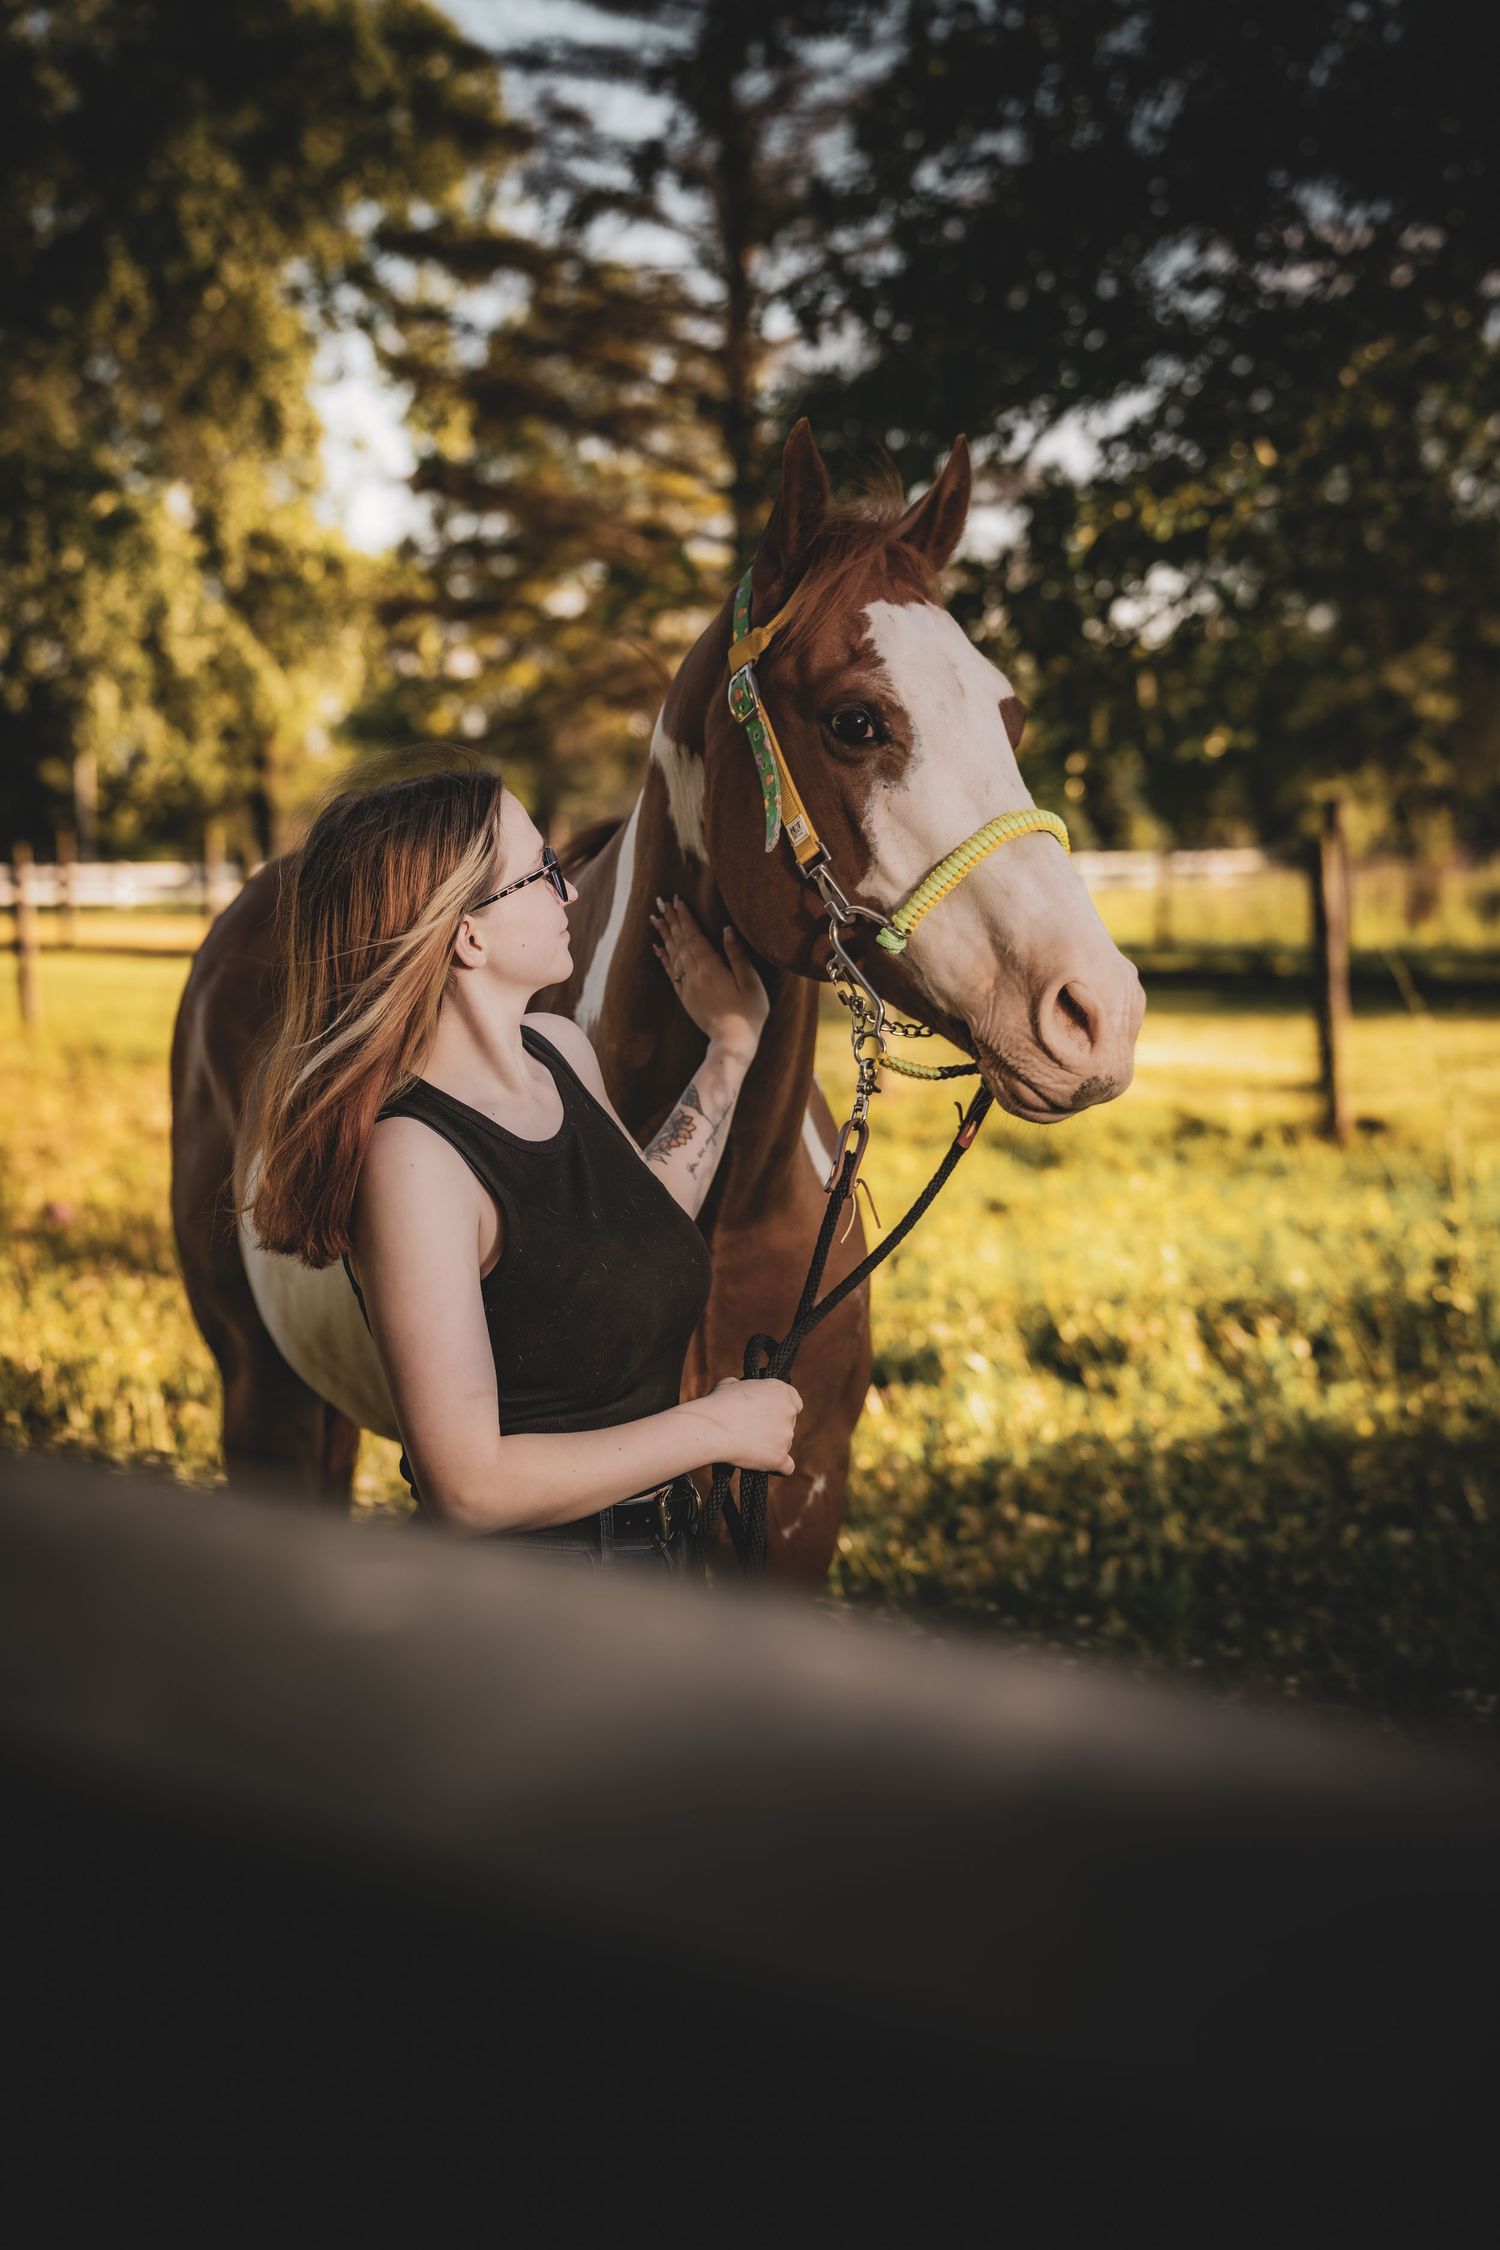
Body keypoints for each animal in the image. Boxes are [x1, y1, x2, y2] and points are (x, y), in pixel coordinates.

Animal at [170, 420, 1145, 1579]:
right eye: (857, 720)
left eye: (1012, 713)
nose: (1096, 1013)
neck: (730, 1221)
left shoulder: (802, 1508)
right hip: (259, 1396)